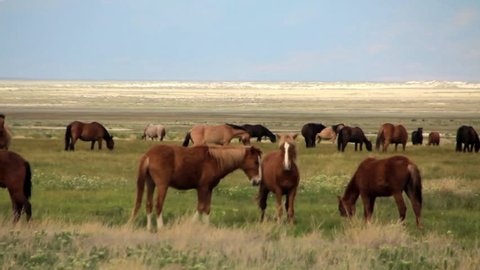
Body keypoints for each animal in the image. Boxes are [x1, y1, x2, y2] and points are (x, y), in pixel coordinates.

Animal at [128, 143, 262, 230]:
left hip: (150, 183)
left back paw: (149, 228)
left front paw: (207, 227)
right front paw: (192, 224)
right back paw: (161, 227)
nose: (257, 181)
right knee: (158, 205)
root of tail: (149, 155)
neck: (214, 160)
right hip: (162, 186)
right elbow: (201, 207)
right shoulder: (202, 188)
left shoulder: (209, 189)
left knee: (149, 204)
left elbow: (207, 208)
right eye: (256, 162)